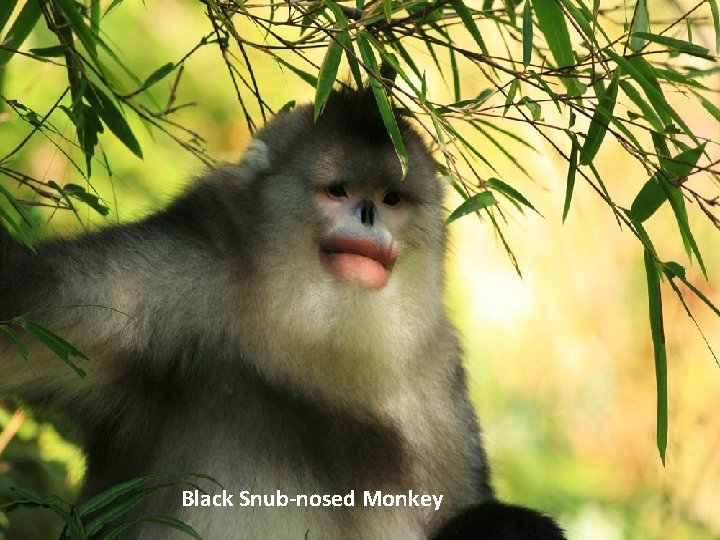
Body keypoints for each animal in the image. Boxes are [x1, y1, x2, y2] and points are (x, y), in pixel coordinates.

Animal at [0, 89, 564, 540]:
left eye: (391, 199)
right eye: (338, 191)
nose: (368, 215)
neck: (309, 354)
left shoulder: (435, 373)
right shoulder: (160, 283)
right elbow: (26, 303)